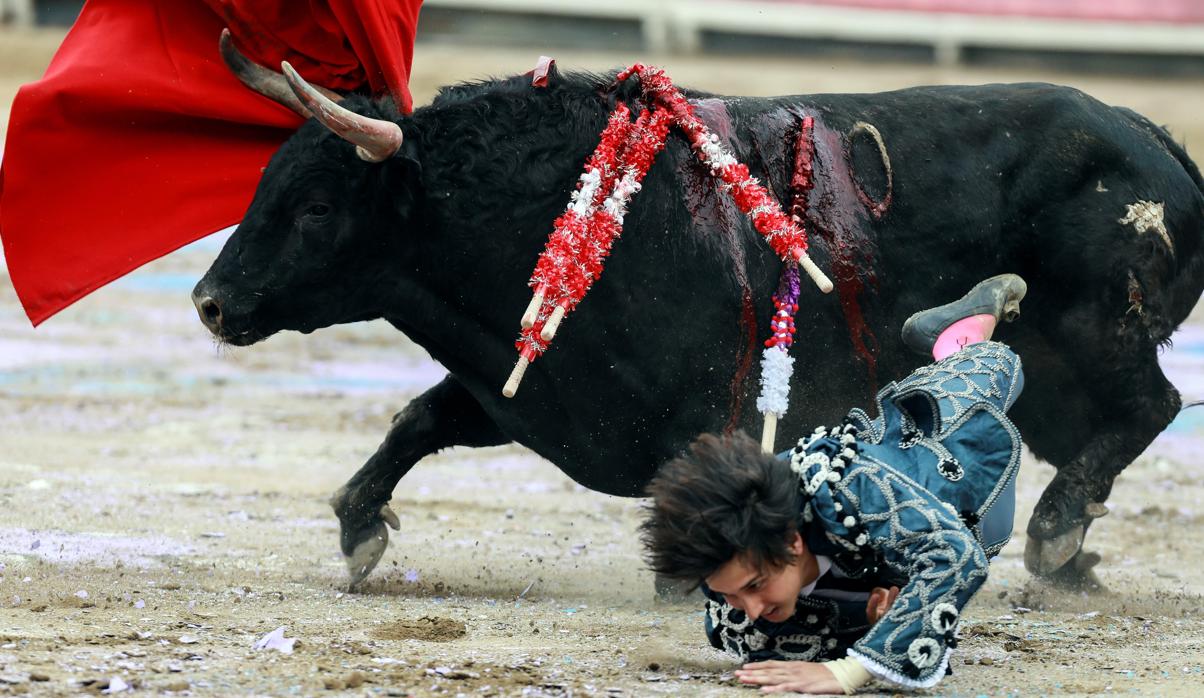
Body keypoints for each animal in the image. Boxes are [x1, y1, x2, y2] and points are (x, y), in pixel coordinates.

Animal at [187, 66, 1204, 589]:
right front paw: (360, 530)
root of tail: (1153, 140)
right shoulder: (528, 388)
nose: (209, 301)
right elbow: (418, 422)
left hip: (1098, 336)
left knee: (1151, 405)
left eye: (317, 206)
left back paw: (1057, 536)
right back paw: (1070, 558)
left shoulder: (695, 407)